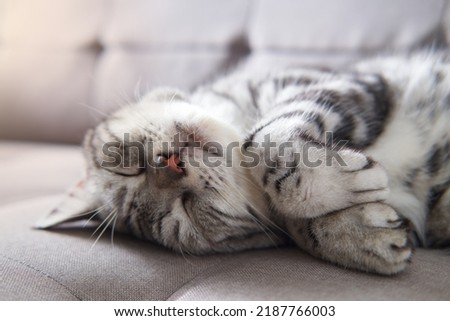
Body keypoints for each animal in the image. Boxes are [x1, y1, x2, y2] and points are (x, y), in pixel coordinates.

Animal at [36, 51, 450, 274]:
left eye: (129, 166)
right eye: (184, 211)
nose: (172, 163)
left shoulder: (340, 81)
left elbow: (265, 140)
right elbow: (298, 223)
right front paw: (360, 234)